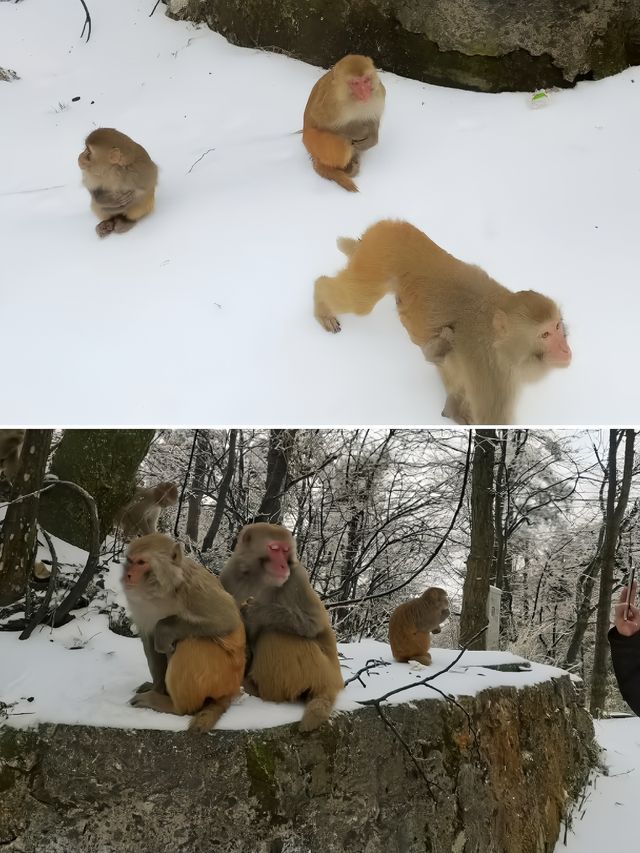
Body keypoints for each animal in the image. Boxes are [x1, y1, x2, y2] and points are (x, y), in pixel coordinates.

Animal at [122, 536, 245, 728]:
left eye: (141, 562)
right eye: (130, 560)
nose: (127, 575)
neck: (159, 592)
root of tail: (231, 690)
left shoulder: (195, 590)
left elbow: (227, 618)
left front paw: (164, 629)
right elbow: (149, 638)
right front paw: (157, 687)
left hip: (222, 677)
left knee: (190, 644)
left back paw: (173, 706)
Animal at [219, 524, 344, 728]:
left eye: (286, 551)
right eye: (275, 549)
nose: (283, 565)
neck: (259, 577)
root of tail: (336, 682)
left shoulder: (297, 577)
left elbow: (314, 623)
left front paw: (256, 612)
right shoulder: (230, 573)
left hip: (319, 670)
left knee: (274, 633)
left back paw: (264, 692)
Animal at [302, 55, 384, 191]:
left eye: (366, 80)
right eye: (355, 83)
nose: (365, 92)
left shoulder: (379, 93)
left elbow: (373, 118)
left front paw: (372, 137)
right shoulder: (332, 104)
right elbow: (320, 123)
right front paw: (359, 131)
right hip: (313, 143)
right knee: (342, 140)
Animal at [312, 218, 572, 422]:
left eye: (558, 326)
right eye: (545, 334)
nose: (566, 350)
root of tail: (384, 226)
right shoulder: (491, 372)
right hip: (377, 258)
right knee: (360, 301)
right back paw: (322, 305)